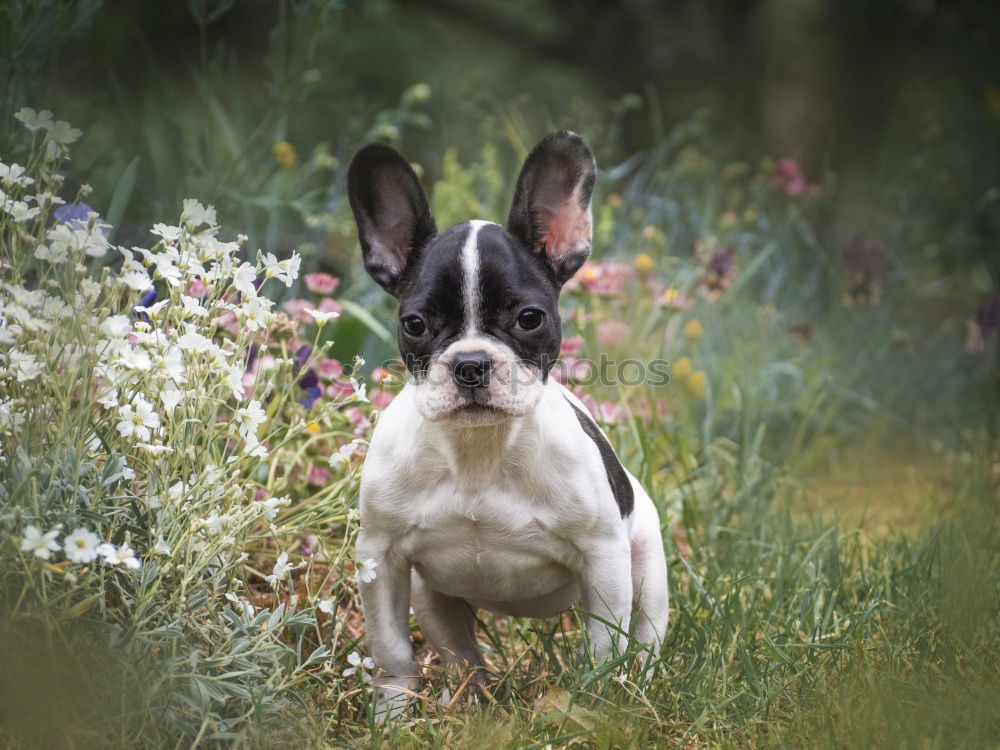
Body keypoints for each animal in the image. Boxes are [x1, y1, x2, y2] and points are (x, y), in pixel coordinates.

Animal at [348, 132, 668, 720]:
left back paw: (640, 687)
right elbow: (392, 651)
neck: (480, 451)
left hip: (646, 568)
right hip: (430, 596)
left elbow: (603, 643)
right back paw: (467, 697)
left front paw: (596, 702)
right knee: (459, 650)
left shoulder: (603, 558)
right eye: (414, 324)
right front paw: (392, 715)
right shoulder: (381, 558)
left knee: (645, 637)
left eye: (529, 318)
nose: (471, 364)